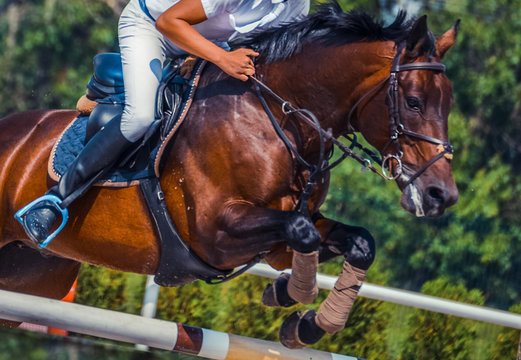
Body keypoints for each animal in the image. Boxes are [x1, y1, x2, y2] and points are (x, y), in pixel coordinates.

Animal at [0, 2, 458, 350]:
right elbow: (303, 231)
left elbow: (356, 242)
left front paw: (304, 319)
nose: (441, 195)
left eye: (449, 104)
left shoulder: (275, 241)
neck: (281, 120)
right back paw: (44, 214)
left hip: (36, 273)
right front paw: (293, 298)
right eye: (414, 102)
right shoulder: (214, 231)